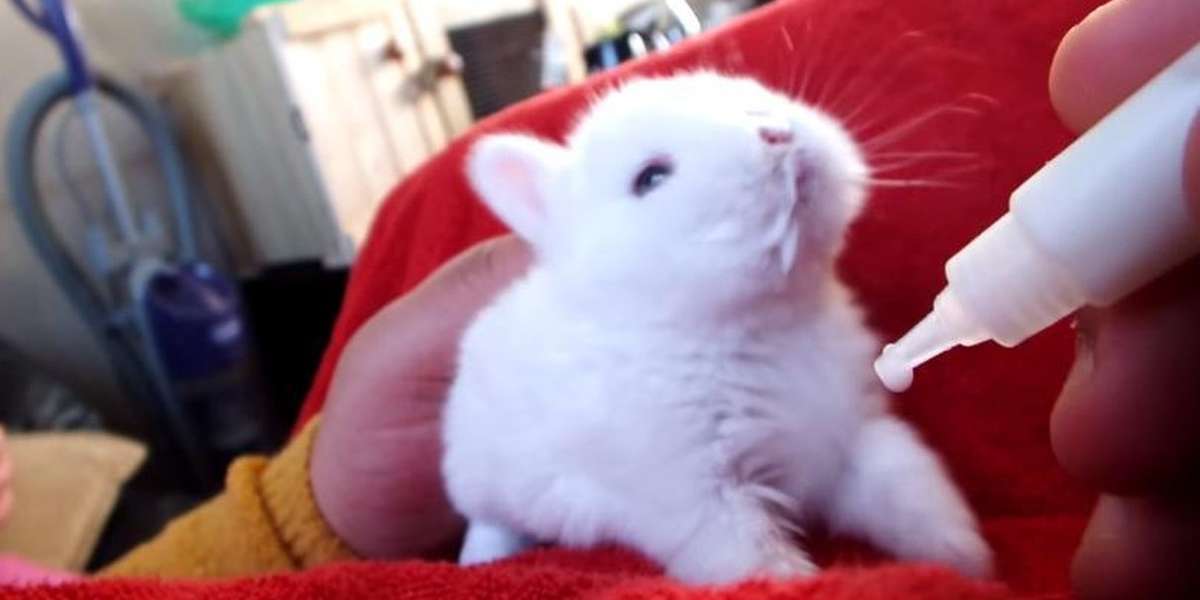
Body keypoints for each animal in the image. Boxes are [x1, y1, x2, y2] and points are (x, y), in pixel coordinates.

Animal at [440, 71, 992, 586]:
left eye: (748, 92)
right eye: (650, 178)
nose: (777, 132)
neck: (755, 326)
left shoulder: (852, 437)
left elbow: (912, 495)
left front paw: (971, 565)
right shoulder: (699, 496)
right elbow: (758, 561)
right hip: (486, 485)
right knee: (489, 523)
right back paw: (482, 559)